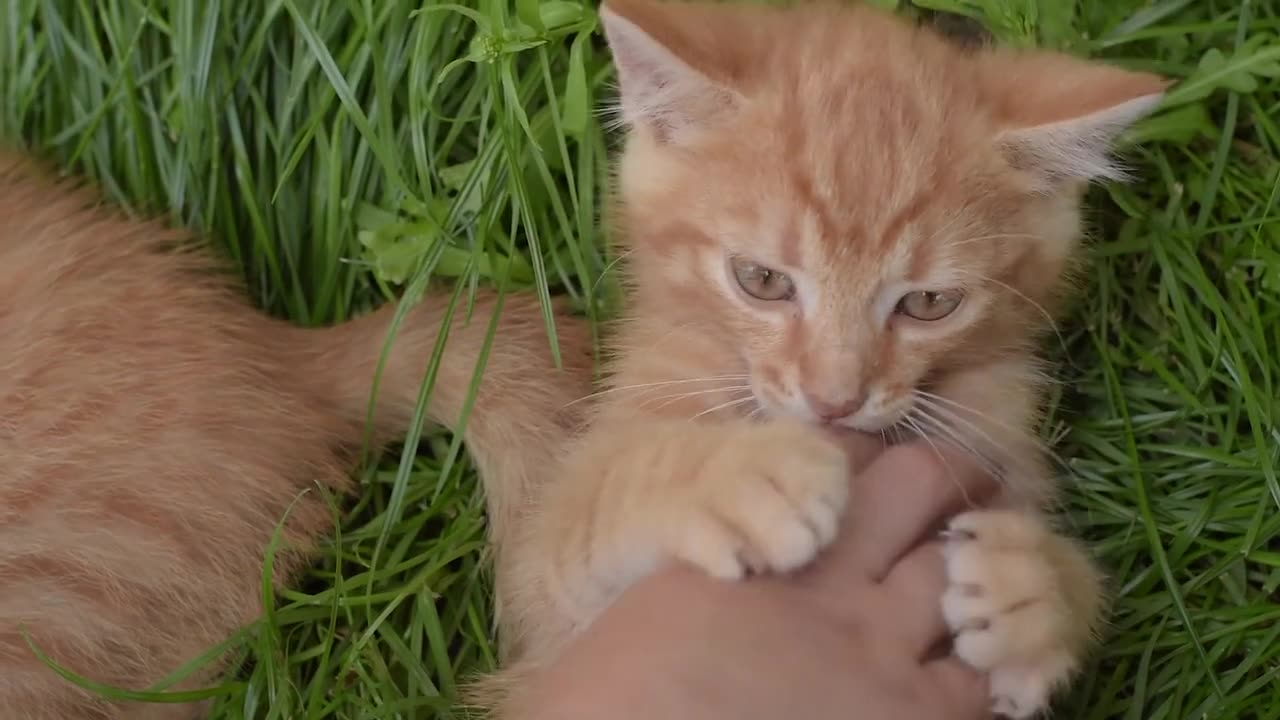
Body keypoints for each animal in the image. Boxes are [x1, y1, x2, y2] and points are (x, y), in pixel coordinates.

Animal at [488, 2, 1172, 712]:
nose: (834, 401)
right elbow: (595, 505)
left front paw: (1041, 590)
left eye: (929, 302)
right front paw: (738, 474)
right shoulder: (541, 603)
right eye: (761, 279)